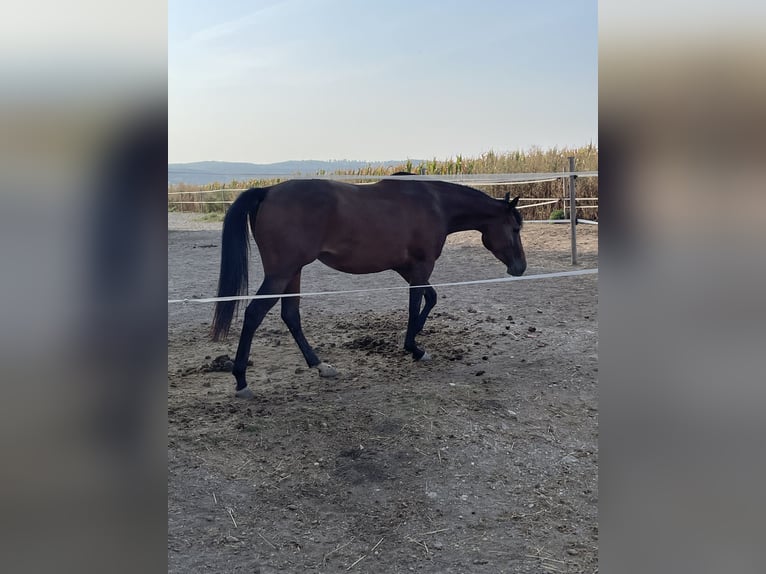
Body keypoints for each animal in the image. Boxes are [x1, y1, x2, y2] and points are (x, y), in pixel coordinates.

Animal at [210, 178, 528, 398]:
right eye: (515, 229)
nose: (520, 267)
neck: (435, 204)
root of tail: (267, 190)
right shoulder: (421, 267)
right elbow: (416, 304)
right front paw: (414, 347)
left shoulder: (408, 269)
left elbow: (430, 298)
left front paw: (415, 339)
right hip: (281, 273)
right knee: (254, 314)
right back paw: (241, 380)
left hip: (293, 272)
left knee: (291, 315)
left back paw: (320, 366)